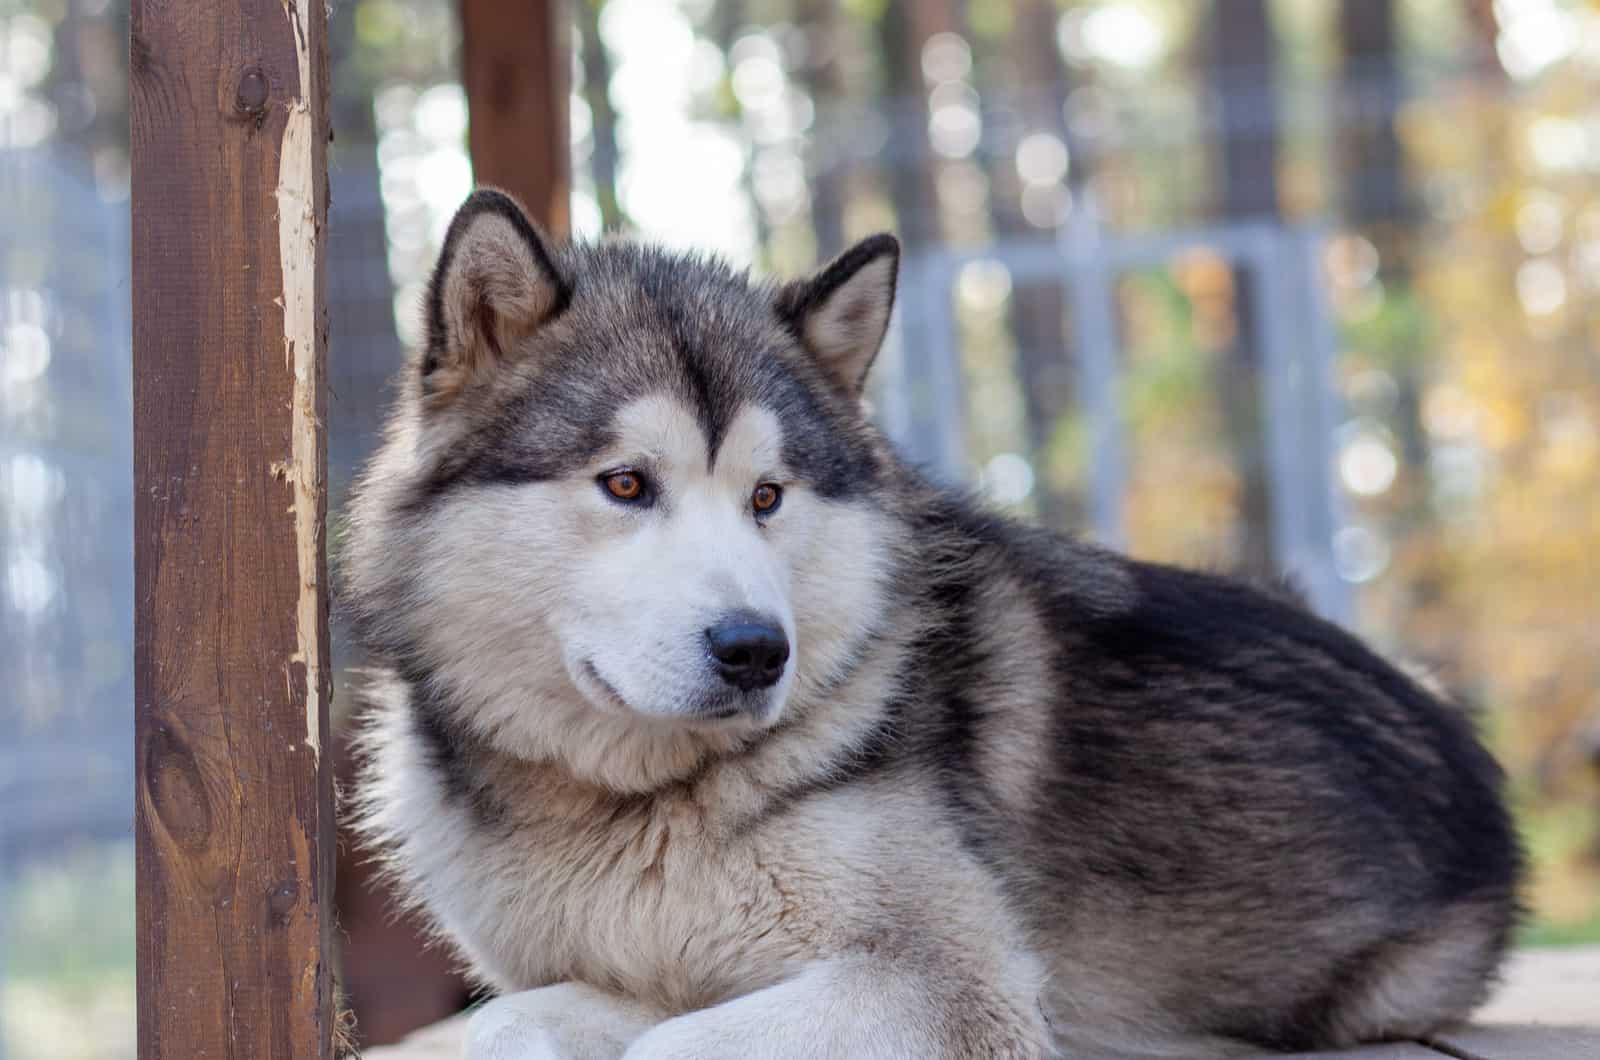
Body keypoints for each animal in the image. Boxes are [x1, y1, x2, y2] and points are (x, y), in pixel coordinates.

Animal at [347, 191, 1523, 1060]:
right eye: (627, 483)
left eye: (767, 496)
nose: (755, 651)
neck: (634, 807)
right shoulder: (622, 972)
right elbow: (519, 1020)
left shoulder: (952, 987)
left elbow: (668, 1045)